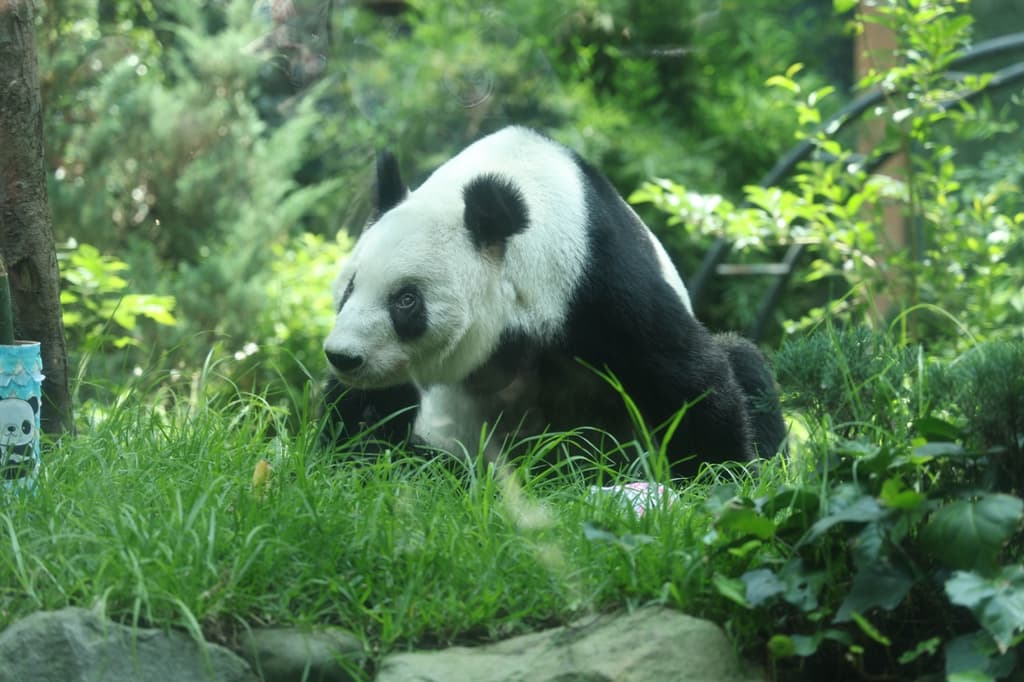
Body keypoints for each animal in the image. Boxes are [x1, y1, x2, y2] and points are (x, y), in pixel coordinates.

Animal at [322, 126, 785, 477]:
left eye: (406, 300)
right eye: (349, 288)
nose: (344, 357)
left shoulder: (596, 278)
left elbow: (690, 377)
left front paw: (717, 479)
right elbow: (366, 415)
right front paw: (355, 448)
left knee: (745, 363)